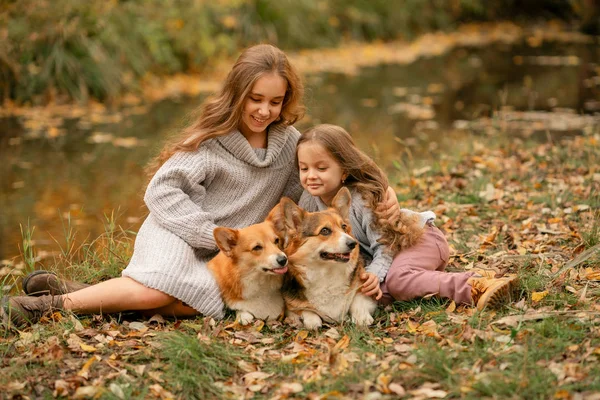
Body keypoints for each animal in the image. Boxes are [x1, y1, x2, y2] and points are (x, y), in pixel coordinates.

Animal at [270, 189, 376, 330]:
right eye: (325, 230)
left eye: (344, 227)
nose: (353, 243)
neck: (327, 273)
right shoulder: (290, 307)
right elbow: (305, 311)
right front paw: (313, 320)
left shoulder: (363, 288)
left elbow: (358, 299)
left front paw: (362, 317)